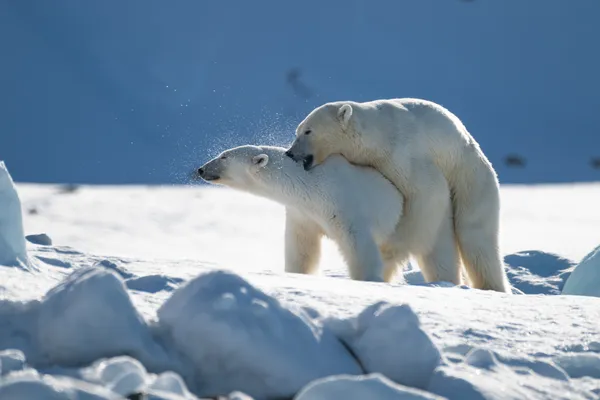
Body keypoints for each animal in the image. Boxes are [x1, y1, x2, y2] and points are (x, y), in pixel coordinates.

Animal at [197, 145, 460, 284]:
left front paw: (367, 280)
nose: (201, 169)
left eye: (224, 156)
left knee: (438, 256)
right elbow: (302, 248)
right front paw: (296, 273)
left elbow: (360, 246)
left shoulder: (344, 204)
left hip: (430, 218)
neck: (311, 186)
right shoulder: (303, 214)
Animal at [286, 98, 510, 292]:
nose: (290, 153)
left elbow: (429, 193)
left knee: (475, 236)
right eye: (297, 131)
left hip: (470, 179)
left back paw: (491, 286)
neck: (377, 135)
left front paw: (389, 248)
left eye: (308, 131)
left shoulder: (403, 156)